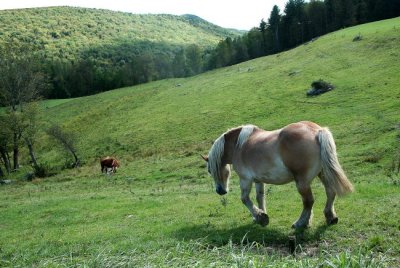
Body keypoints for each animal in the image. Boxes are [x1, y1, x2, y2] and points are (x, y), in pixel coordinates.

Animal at [203, 121, 354, 228]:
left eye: (210, 170)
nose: (220, 191)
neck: (238, 146)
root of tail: (317, 131)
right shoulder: (258, 180)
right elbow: (260, 197)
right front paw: (260, 215)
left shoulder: (245, 179)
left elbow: (245, 199)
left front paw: (261, 217)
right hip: (323, 174)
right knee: (330, 193)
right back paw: (330, 217)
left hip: (302, 182)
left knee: (308, 201)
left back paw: (300, 223)